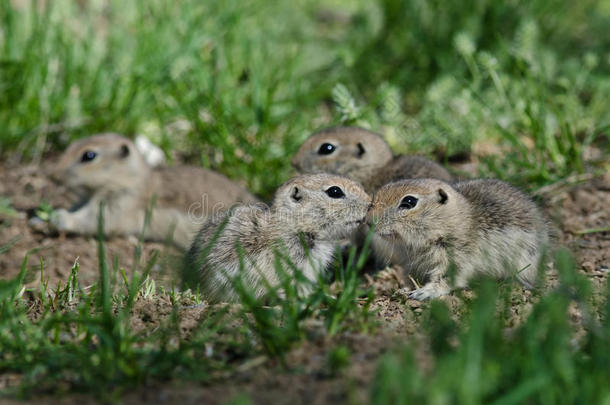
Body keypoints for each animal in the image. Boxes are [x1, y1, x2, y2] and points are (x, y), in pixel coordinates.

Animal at [366, 178, 552, 298]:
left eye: (409, 201)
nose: (368, 221)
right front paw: (404, 289)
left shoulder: (458, 258)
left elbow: (447, 278)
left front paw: (423, 293)